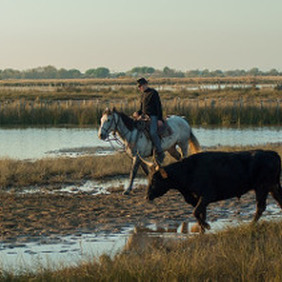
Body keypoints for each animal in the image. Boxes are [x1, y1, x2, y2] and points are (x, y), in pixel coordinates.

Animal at [145, 150, 282, 231]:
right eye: (149, 178)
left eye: (155, 180)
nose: (147, 197)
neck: (189, 170)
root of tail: (272, 153)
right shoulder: (199, 199)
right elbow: (201, 213)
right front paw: (202, 229)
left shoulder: (207, 195)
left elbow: (195, 212)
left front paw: (206, 226)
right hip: (271, 187)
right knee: (278, 201)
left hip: (262, 187)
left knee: (260, 207)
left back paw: (250, 225)